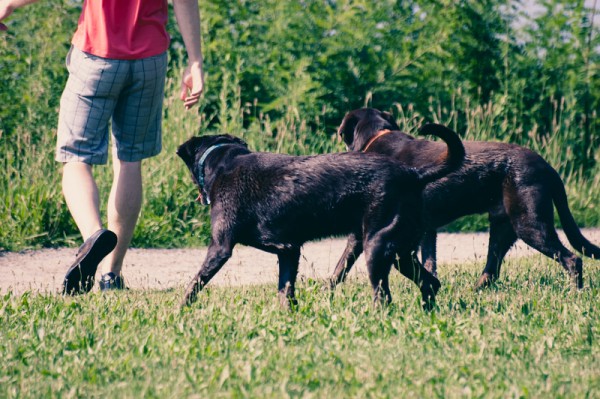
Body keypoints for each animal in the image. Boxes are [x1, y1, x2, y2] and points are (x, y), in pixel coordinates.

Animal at [176, 126, 466, 310]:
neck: (223, 162)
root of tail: (414, 174)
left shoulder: (220, 248)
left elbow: (194, 285)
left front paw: (178, 312)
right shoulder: (288, 250)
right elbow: (285, 292)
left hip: (377, 247)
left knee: (384, 299)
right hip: (400, 253)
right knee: (431, 283)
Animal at [332, 108, 600, 290]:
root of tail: (547, 167)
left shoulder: (362, 233)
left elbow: (340, 267)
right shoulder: (428, 230)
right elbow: (429, 263)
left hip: (530, 223)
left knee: (572, 260)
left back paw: (574, 292)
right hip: (503, 227)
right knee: (492, 270)